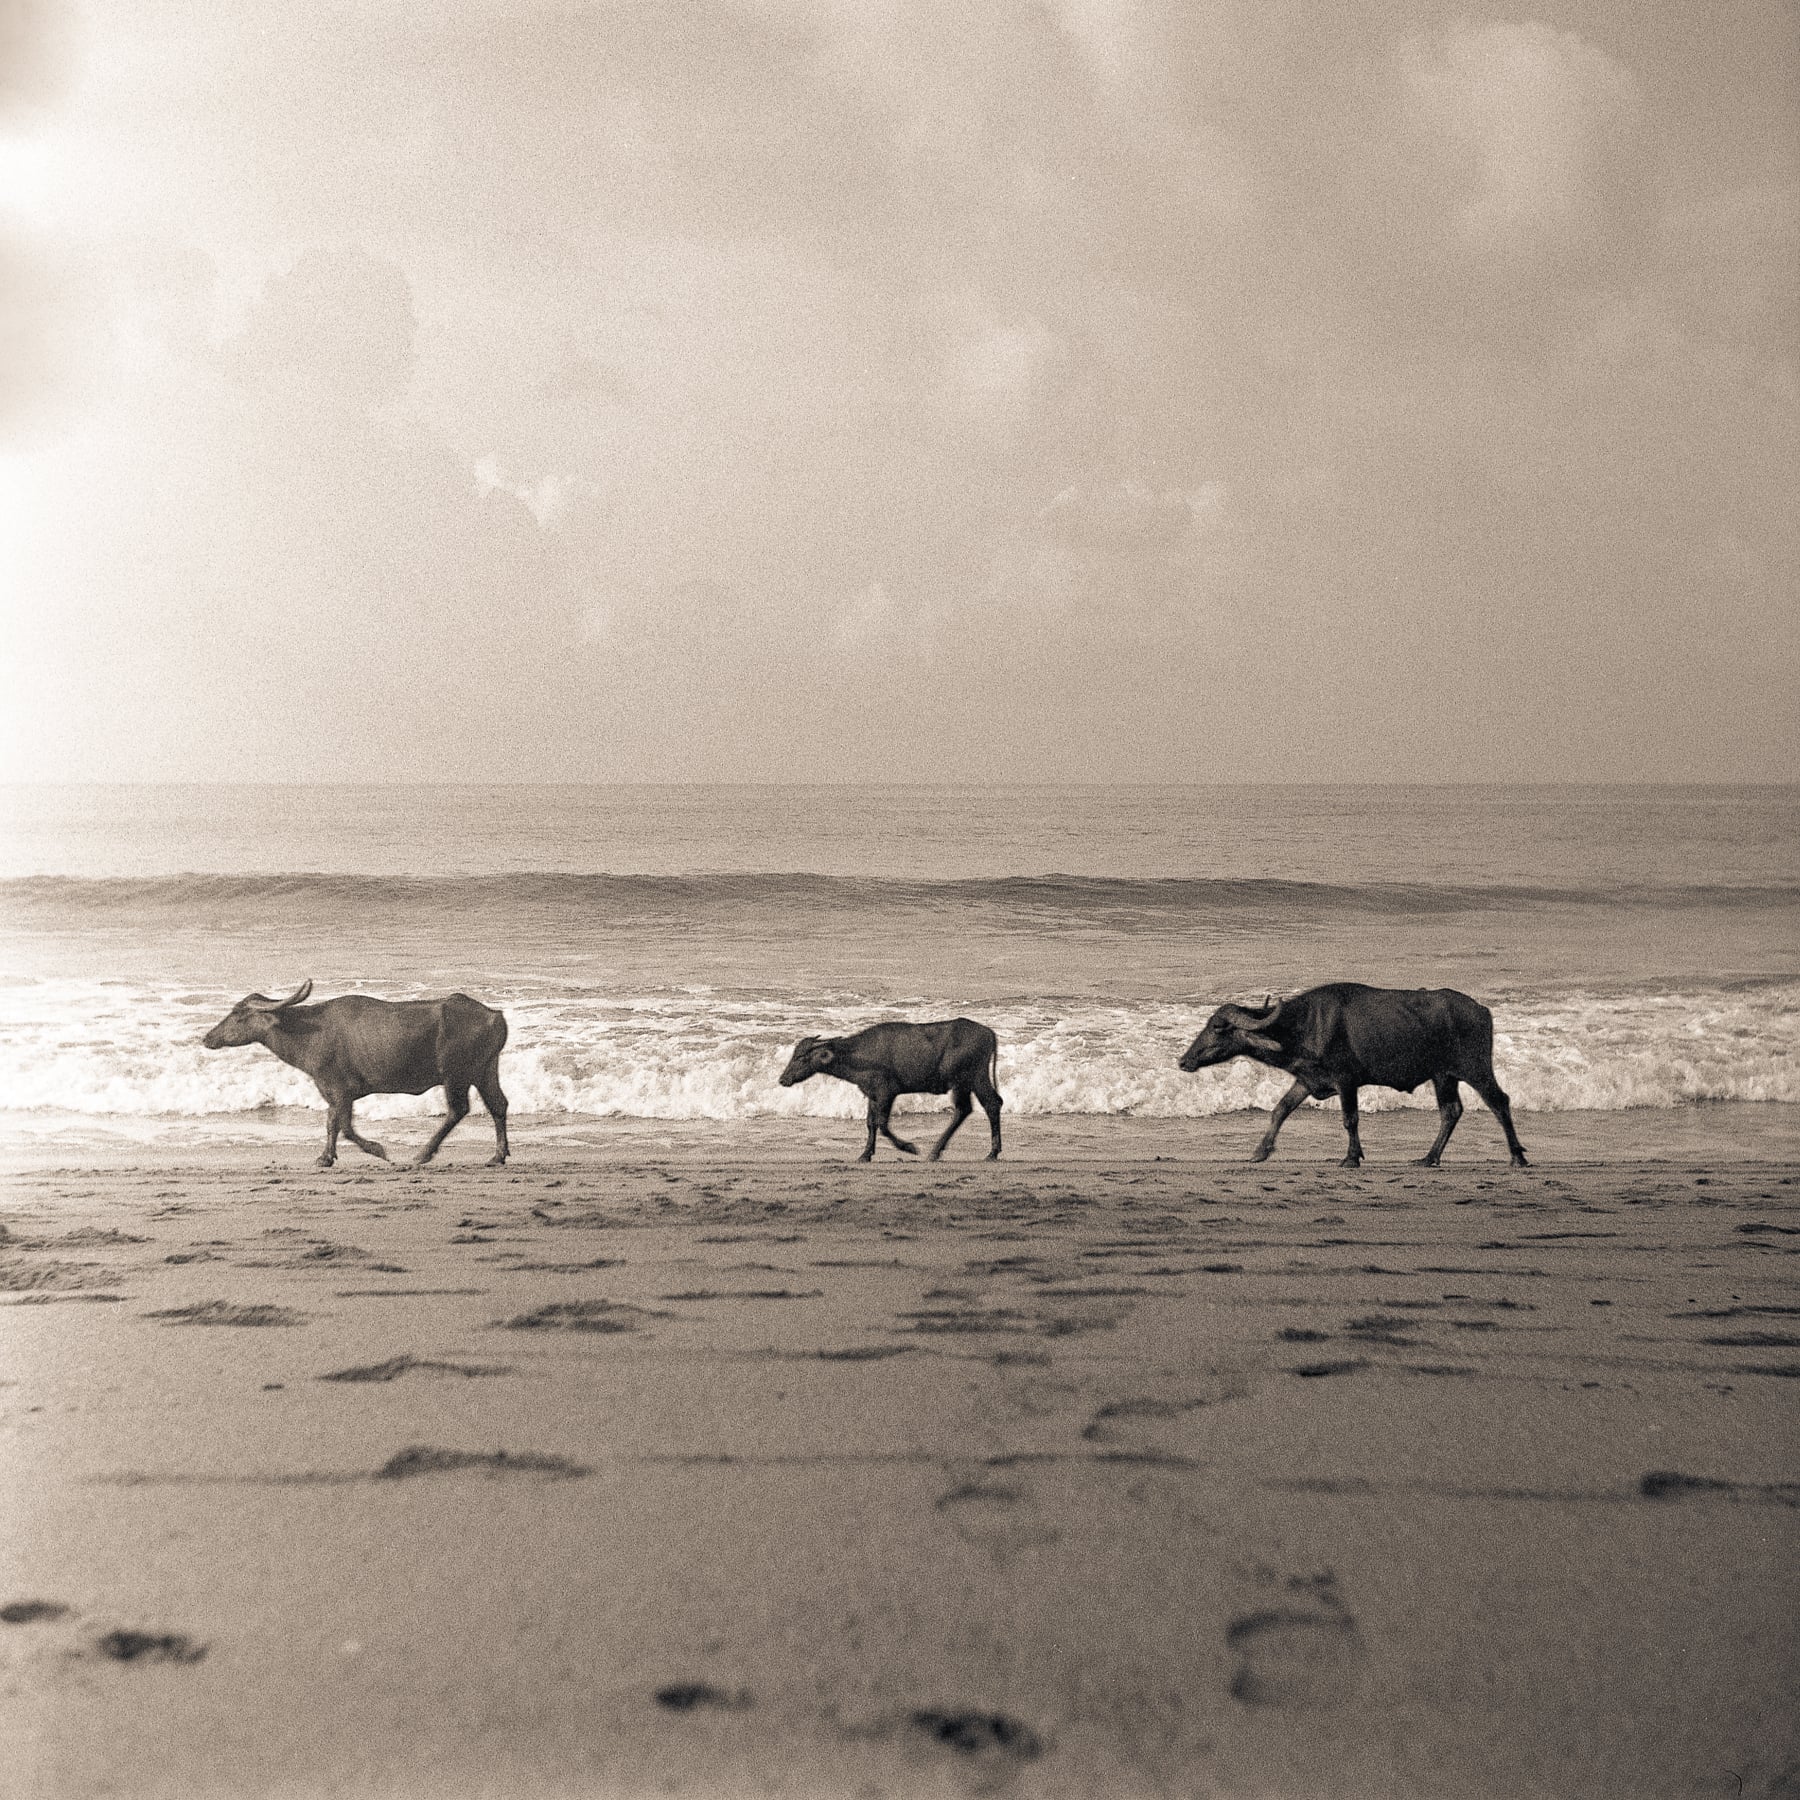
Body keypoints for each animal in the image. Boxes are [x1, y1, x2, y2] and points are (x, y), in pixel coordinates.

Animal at [205, 979, 514, 1173]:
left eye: (237, 1013)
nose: (207, 1037)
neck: (308, 1031)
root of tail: (495, 1016)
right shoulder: (333, 1093)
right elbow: (332, 1124)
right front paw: (325, 1157)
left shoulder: (339, 1090)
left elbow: (344, 1127)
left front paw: (378, 1150)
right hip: (485, 1070)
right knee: (498, 1105)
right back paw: (497, 1155)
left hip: (456, 1075)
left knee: (458, 1109)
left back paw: (422, 1154)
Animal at [774, 1022, 1000, 1159]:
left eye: (801, 1057)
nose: (783, 1079)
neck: (860, 1055)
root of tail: (988, 1032)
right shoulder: (872, 1095)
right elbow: (870, 1123)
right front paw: (865, 1154)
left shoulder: (886, 1093)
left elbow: (882, 1124)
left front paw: (909, 1147)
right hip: (965, 1083)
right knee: (968, 1109)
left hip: (972, 1079)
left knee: (988, 1104)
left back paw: (989, 1152)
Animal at [1180, 986, 1533, 1166]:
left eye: (1217, 1027)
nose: (1184, 1060)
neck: (1303, 1026)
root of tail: (1482, 1011)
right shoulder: (1307, 1081)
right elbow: (1280, 1110)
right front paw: (1259, 1152)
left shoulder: (1345, 1081)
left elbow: (1350, 1119)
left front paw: (1351, 1158)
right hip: (1443, 1075)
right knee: (1451, 1111)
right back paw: (1428, 1158)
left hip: (1475, 1068)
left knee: (1499, 1102)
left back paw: (1517, 1156)